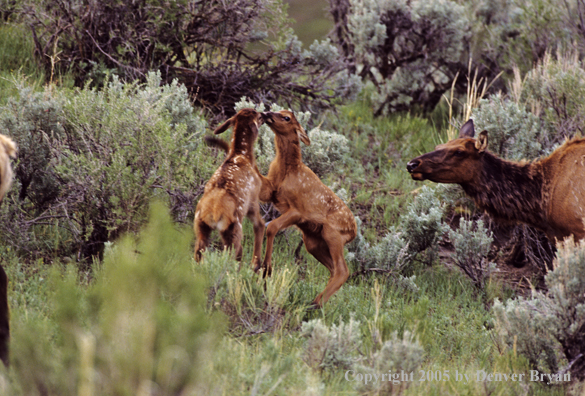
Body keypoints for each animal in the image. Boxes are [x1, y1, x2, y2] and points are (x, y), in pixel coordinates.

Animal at [195, 108, 270, 270]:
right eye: (257, 115)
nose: (266, 114)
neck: (241, 156)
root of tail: (213, 213)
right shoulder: (253, 199)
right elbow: (260, 224)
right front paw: (256, 263)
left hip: (200, 227)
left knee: (199, 251)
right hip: (234, 228)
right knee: (235, 253)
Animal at [258, 110, 356, 310]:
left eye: (287, 117)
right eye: (281, 111)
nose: (266, 112)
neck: (287, 171)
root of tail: (354, 231)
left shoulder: (298, 211)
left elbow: (271, 227)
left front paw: (267, 269)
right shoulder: (270, 191)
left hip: (333, 234)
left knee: (343, 270)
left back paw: (315, 304)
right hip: (313, 241)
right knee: (333, 269)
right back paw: (315, 302)